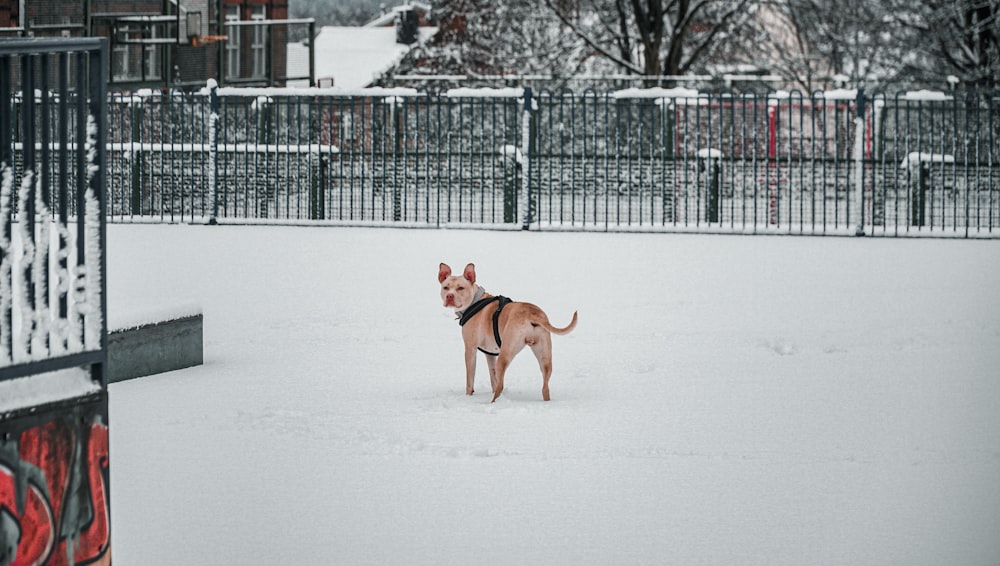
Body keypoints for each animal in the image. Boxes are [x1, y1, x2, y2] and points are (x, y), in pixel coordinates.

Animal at [440, 264, 580, 402]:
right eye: (445, 287)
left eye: (460, 288)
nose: (449, 296)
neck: (475, 300)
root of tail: (532, 314)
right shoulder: (490, 354)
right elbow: (493, 377)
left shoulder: (470, 349)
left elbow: (470, 379)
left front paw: (468, 396)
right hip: (544, 356)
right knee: (544, 386)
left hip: (505, 354)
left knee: (501, 385)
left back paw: (493, 402)